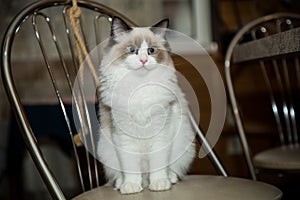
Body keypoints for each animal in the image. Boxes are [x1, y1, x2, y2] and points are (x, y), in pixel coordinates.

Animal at [97, 16, 196, 195]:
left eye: (151, 51)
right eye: (132, 50)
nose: (143, 60)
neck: (139, 87)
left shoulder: (160, 133)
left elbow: (158, 165)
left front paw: (159, 184)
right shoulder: (124, 136)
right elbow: (130, 168)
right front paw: (130, 187)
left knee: (171, 169)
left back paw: (168, 179)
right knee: (122, 175)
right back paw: (122, 184)